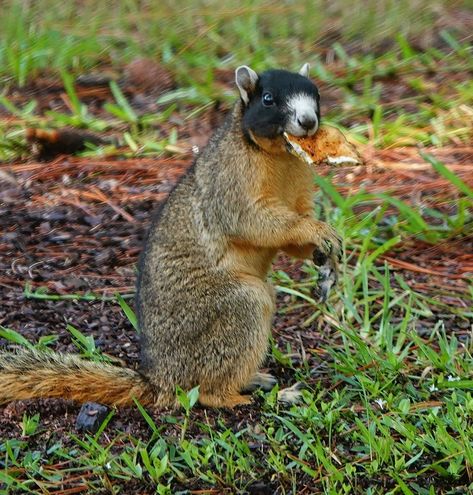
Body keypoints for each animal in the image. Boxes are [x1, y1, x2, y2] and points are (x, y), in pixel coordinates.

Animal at [0, 65, 340, 410]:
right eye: (268, 99)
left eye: (317, 95)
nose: (308, 121)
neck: (280, 155)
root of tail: (163, 379)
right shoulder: (230, 180)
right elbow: (250, 220)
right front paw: (317, 231)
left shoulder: (300, 187)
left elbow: (290, 238)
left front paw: (325, 253)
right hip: (237, 307)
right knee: (209, 389)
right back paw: (249, 397)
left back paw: (255, 380)